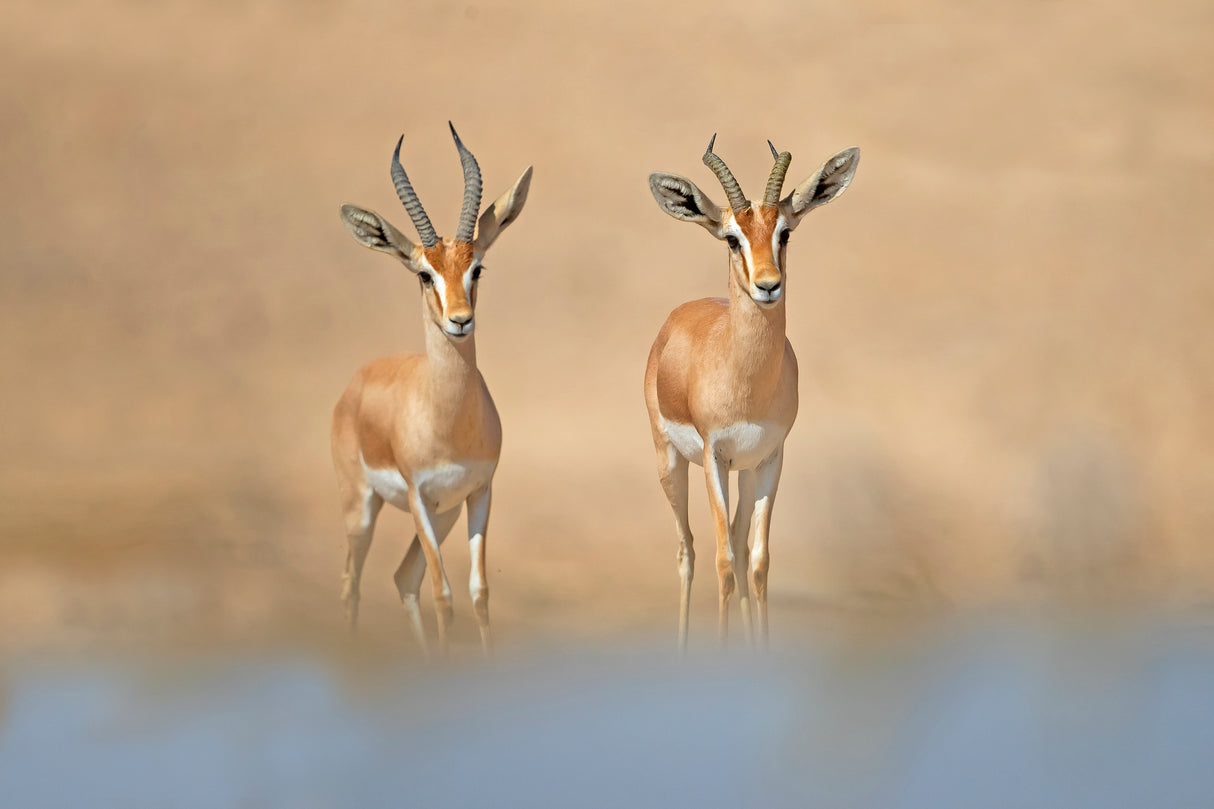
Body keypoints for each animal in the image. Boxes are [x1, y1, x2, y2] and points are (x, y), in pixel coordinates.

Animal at [332, 124, 531, 658]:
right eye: (425, 273)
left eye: (476, 268)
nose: (460, 320)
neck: (447, 420)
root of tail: (358, 379)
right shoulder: (420, 498)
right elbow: (444, 595)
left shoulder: (479, 491)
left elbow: (478, 592)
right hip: (362, 508)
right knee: (351, 584)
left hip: (444, 514)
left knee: (403, 577)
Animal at [645, 136, 859, 652]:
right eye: (731, 238)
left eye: (784, 233)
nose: (768, 285)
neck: (745, 380)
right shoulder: (714, 458)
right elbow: (723, 561)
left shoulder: (770, 458)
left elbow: (757, 562)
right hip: (671, 461)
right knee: (688, 550)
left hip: (744, 470)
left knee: (740, 550)